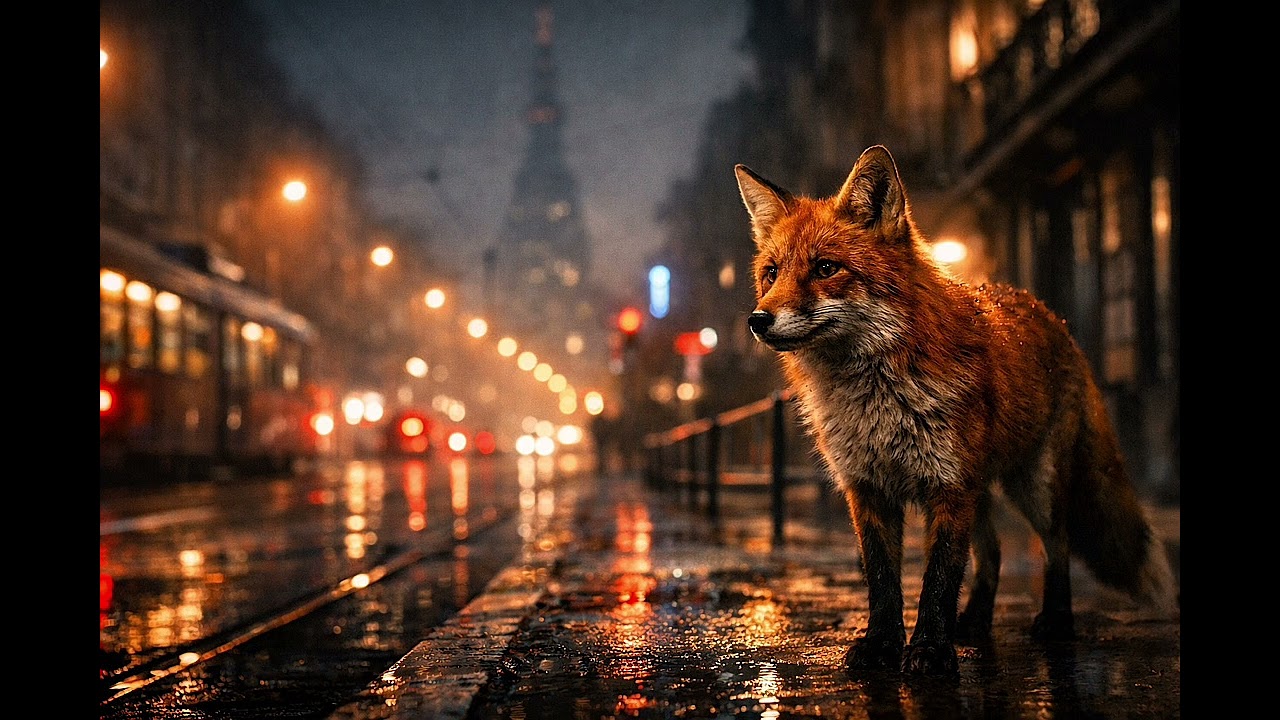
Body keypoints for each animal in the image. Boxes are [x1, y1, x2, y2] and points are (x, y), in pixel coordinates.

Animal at [734, 145, 1177, 676]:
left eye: (825, 268)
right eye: (771, 273)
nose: (758, 320)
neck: (875, 397)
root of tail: (1050, 313)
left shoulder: (948, 486)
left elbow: (939, 580)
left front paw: (929, 650)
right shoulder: (868, 490)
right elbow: (883, 583)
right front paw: (882, 645)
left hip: (1034, 487)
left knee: (1057, 545)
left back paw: (1055, 620)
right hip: (981, 491)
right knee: (994, 554)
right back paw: (976, 621)